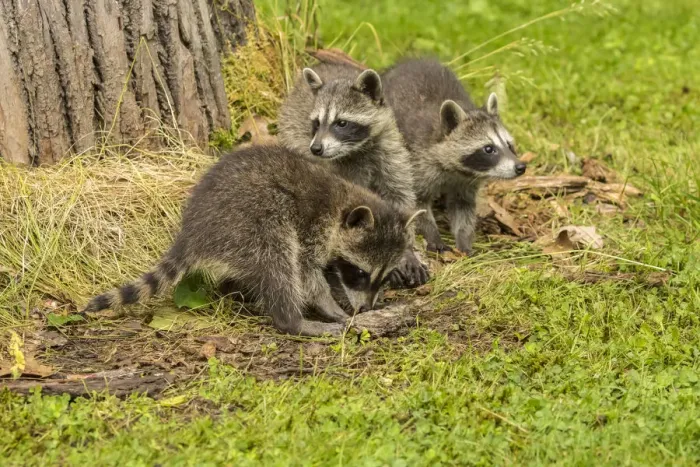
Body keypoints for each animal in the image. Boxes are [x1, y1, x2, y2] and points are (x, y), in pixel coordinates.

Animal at [82, 145, 423, 337]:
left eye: (383, 276)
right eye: (360, 273)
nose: (366, 307)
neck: (342, 201)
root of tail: (192, 231)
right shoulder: (312, 226)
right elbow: (306, 272)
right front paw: (329, 304)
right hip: (249, 222)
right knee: (277, 260)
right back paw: (293, 320)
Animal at [278, 63, 428, 288]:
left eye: (341, 123)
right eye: (316, 123)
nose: (316, 149)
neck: (360, 149)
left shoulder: (392, 155)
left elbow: (401, 197)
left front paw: (406, 250)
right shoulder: (341, 173)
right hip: (291, 132)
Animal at [382, 58, 526, 254]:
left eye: (509, 145)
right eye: (489, 149)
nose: (520, 167)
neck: (458, 171)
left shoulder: (466, 183)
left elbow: (463, 208)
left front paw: (464, 240)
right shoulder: (416, 162)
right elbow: (418, 203)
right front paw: (431, 233)